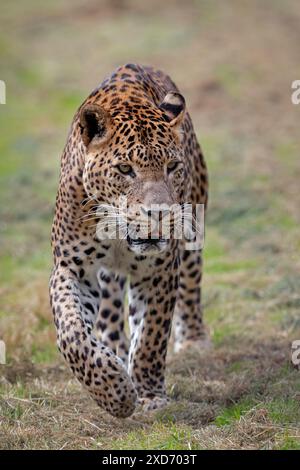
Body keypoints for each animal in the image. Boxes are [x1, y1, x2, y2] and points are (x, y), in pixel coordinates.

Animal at [49, 63, 210, 418]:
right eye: (125, 169)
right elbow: (72, 333)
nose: (159, 213)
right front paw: (115, 392)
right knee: (109, 314)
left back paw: (194, 340)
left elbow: (151, 336)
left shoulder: (161, 269)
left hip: (195, 224)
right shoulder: (71, 267)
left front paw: (149, 395)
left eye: (172, 166)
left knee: (191, 284)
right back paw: (115, 352)